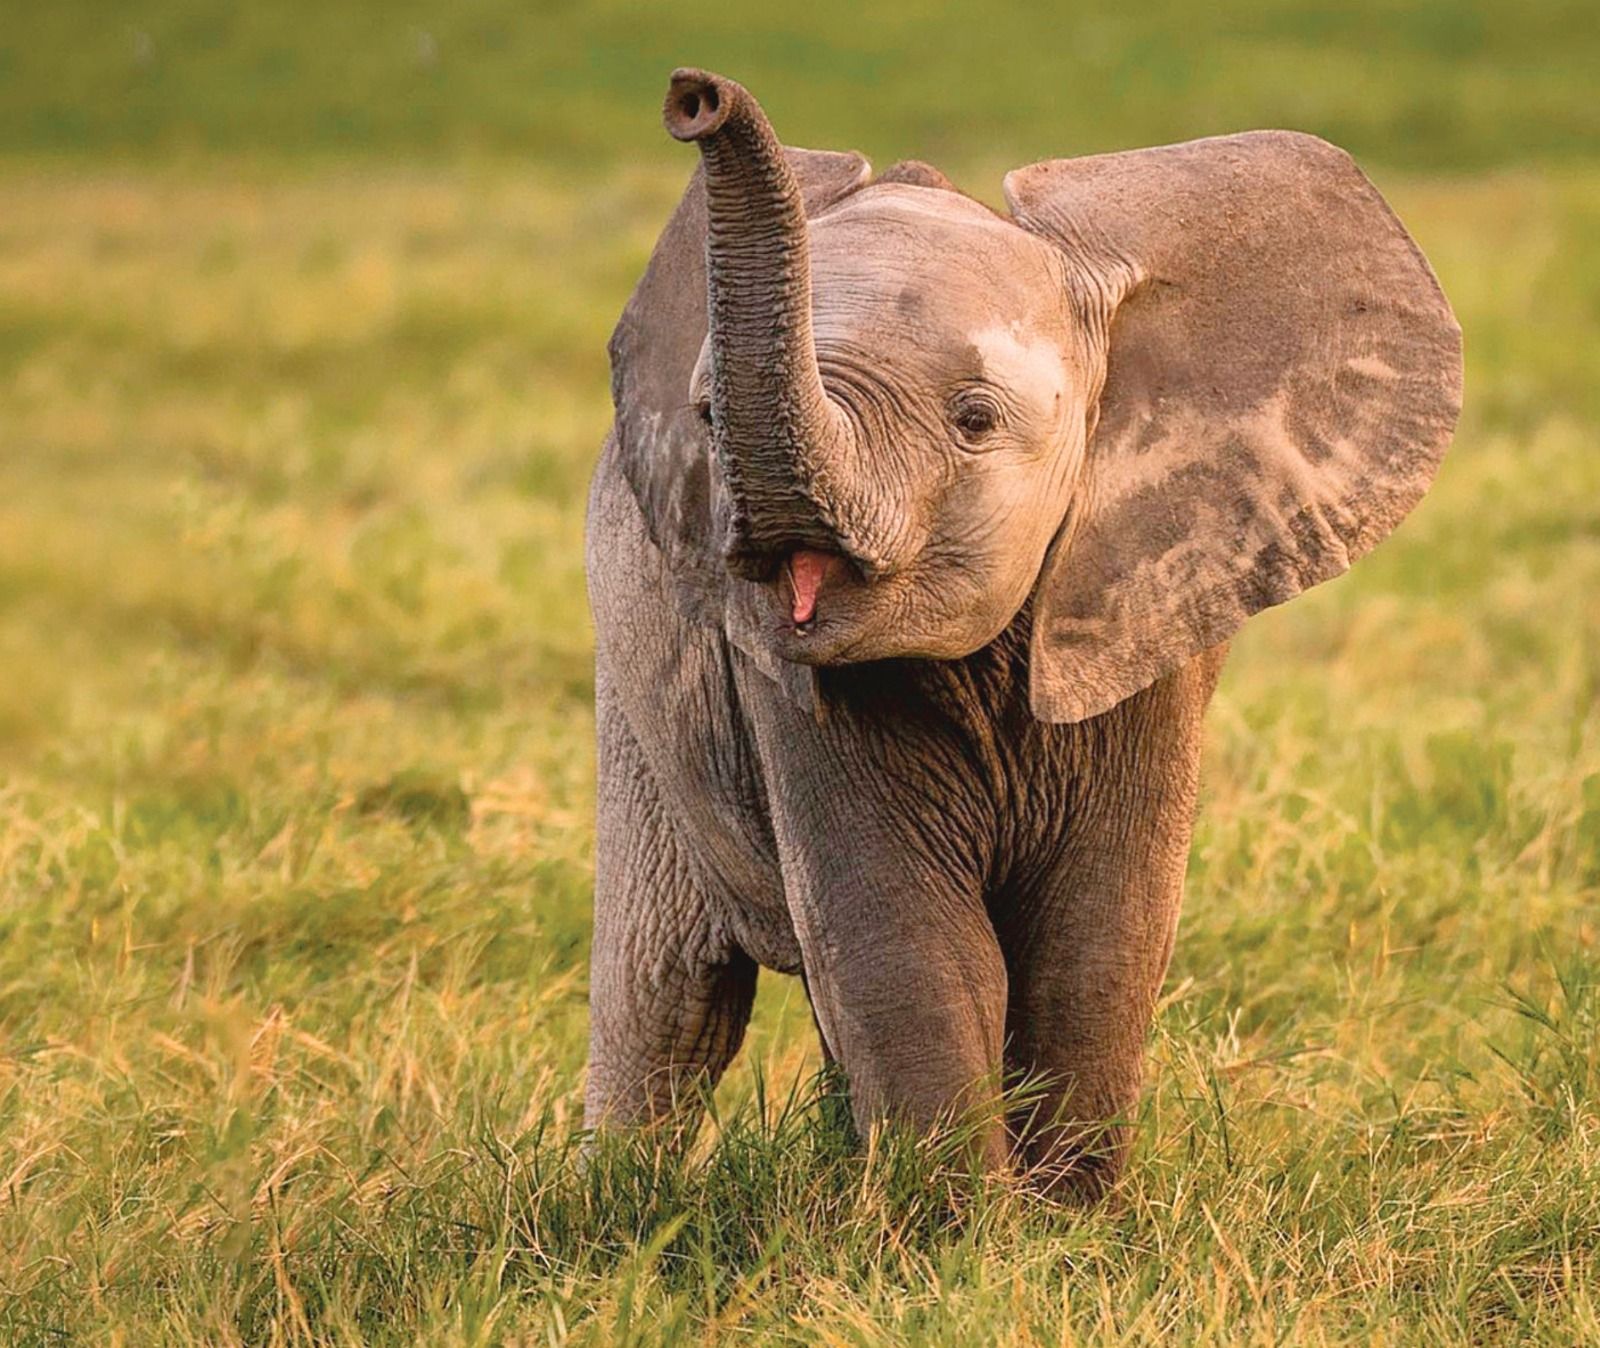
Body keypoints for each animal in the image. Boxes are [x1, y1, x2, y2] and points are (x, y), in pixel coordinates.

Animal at [583, 67, 1461, 1197]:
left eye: (974, 419)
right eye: (704, 421)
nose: (695, 95)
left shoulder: (1151, 609)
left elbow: (1100, 927)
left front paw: (1067, 1224)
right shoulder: (774, 671)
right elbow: (905, 939)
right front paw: (958, 1232)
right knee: (663, 995)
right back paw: (617, 1203)